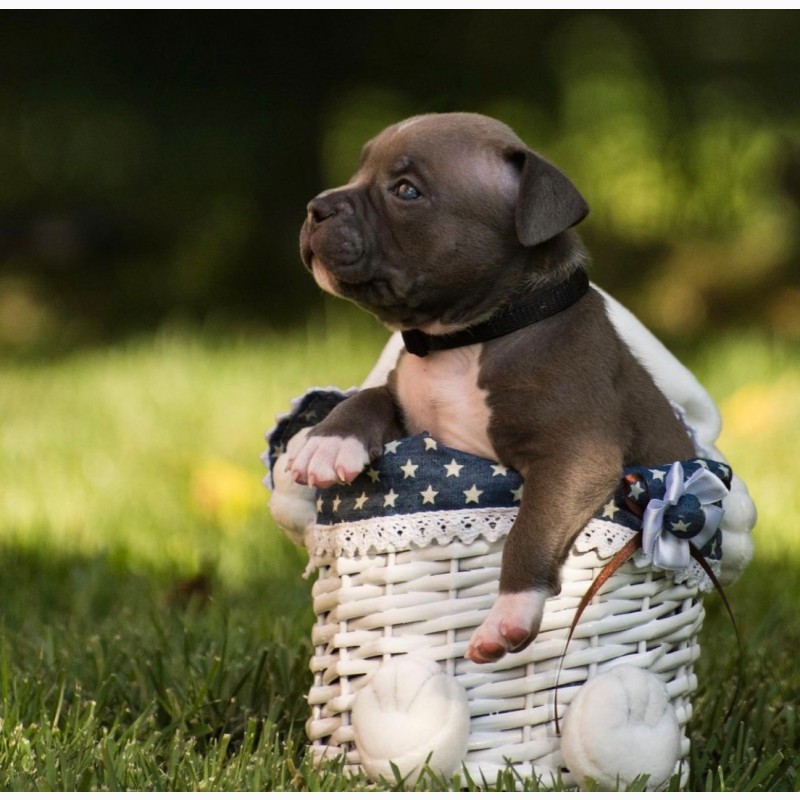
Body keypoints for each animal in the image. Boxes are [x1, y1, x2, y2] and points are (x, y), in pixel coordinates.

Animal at [288, 112, 692, 664]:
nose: (316, 207)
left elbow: (530, 529)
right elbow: (368, 397)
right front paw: (326, 443)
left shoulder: (576, 455)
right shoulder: (406, 403)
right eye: (358, 170)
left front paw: (508, 617)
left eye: (406, 190)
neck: (466, 339)